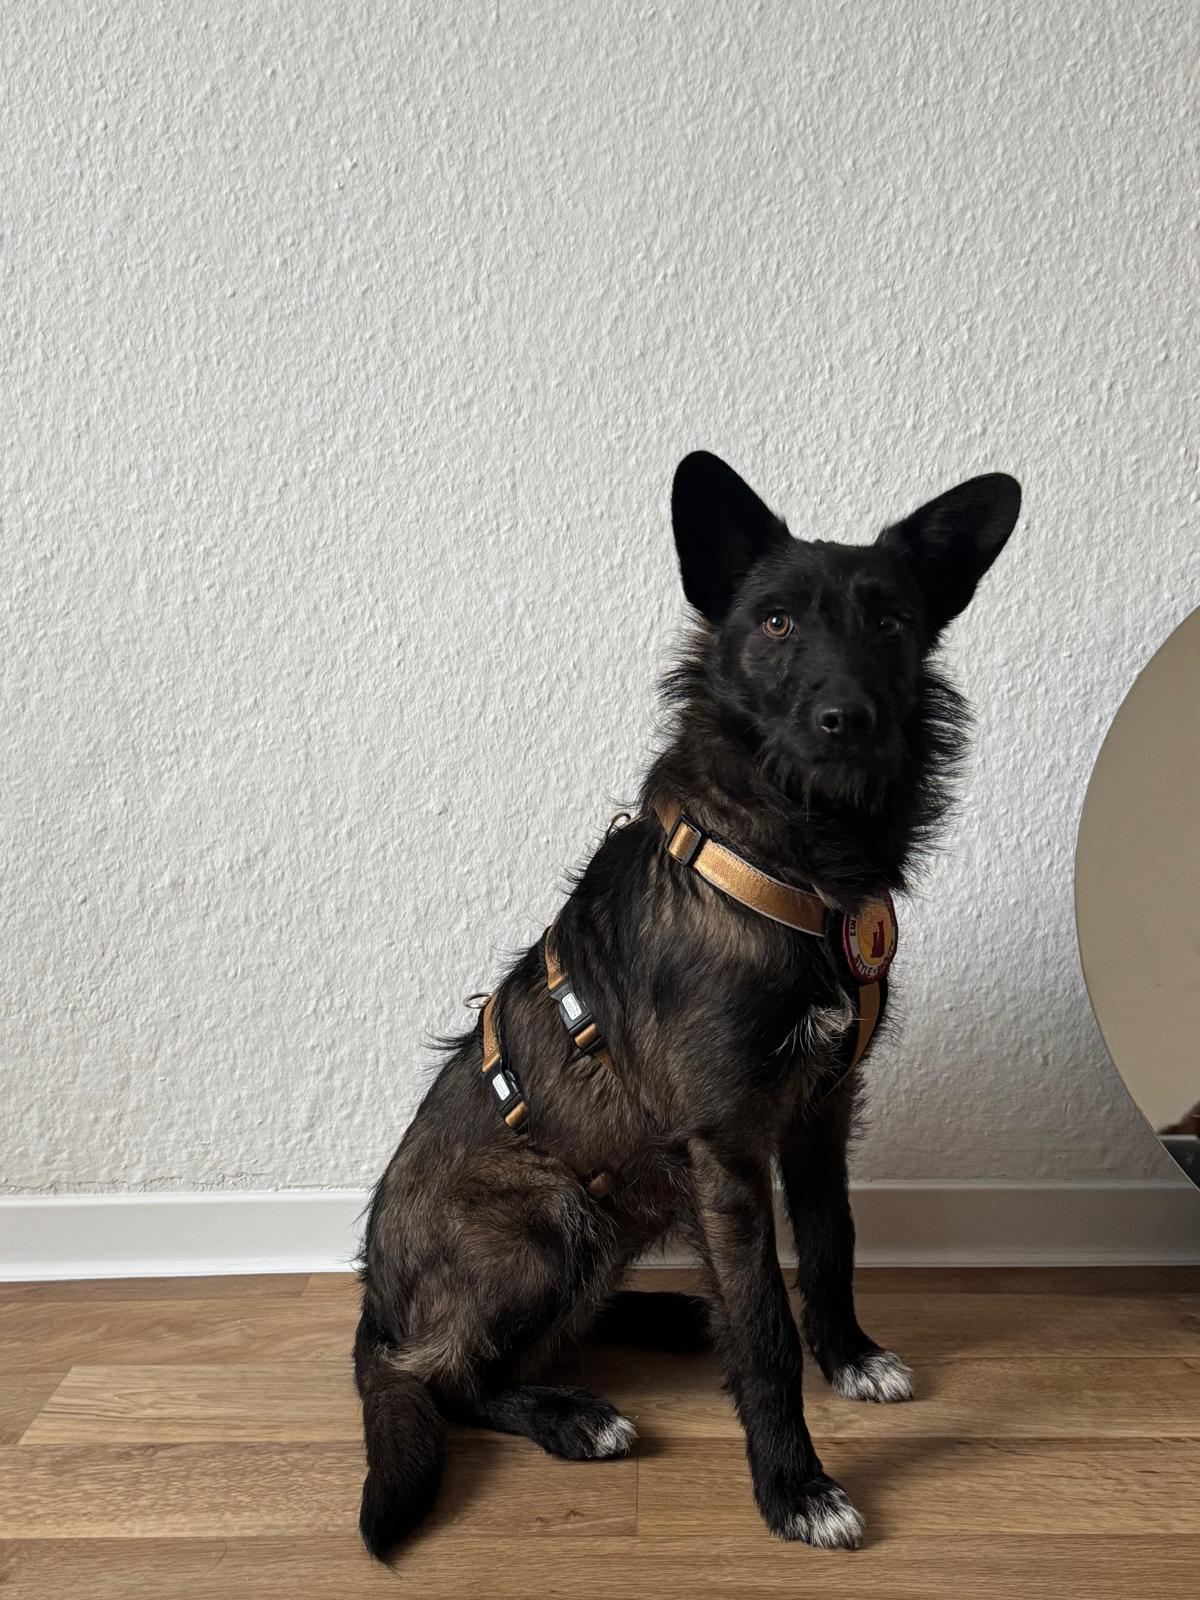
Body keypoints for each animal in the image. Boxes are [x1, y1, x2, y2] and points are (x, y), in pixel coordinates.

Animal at [355, 451, 1021, 1557]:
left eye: (891, 622)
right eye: (777, 622)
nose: (848, 719)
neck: (793, 855)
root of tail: (377, 1299)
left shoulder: (821, 1114)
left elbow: (831, 1247)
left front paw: (849, 1353)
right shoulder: (727, 1148)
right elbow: (762, 1326)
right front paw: (795, 1486)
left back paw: (663, 1317)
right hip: (549, 1215)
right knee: (449, 1377)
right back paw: (572, 1412)